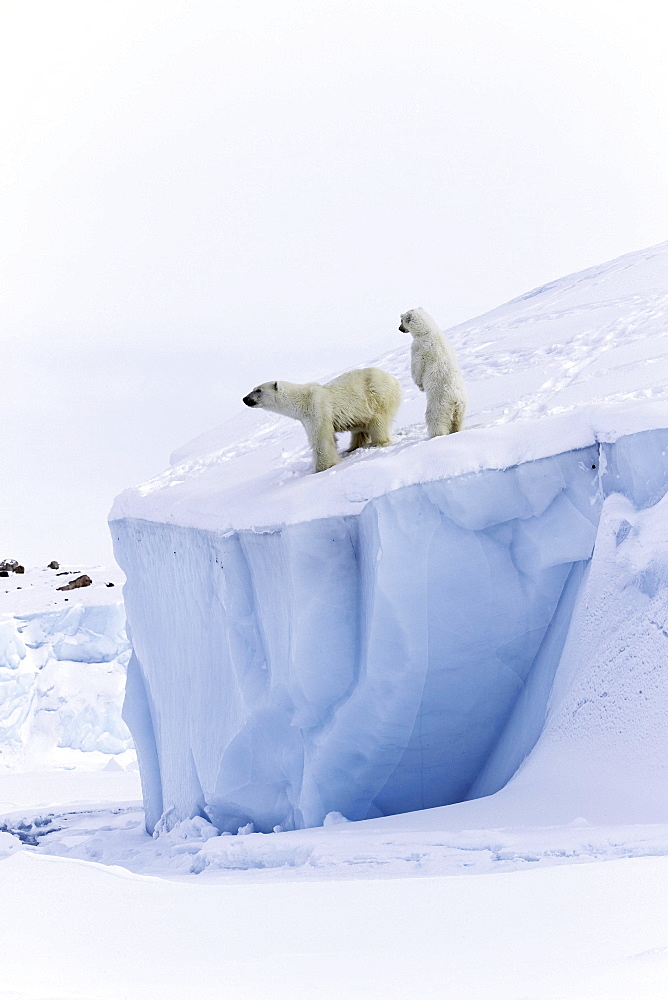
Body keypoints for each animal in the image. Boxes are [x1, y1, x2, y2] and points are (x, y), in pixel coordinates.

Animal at [245, 370, 402, 474]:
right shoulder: (306, 419)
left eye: (258, 390)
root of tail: (393, 379)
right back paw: (351, 448)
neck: (302, 400)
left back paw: (379, 443)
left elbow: (321, 439)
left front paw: (323, 467)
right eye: (253, 389)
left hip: (376, 397)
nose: (244, 399)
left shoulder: (317, 410)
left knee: (378, 421)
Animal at [400, 306, 468, 436]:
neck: (428, 331)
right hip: (461, 407)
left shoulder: (419, 347)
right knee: (458, 420)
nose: (399, 328)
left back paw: (435, 435)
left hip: (439, 404)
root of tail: (455, 399)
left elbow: (417, 367)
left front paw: (420, 386)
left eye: (401, 320)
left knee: (435, 419)